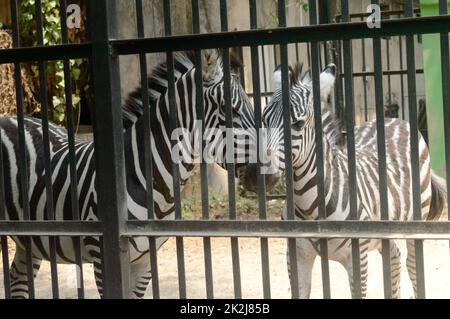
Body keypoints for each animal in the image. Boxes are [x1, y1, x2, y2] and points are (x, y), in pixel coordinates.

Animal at [0, 48, 256, 298]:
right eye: (231, 111)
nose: (262, 175)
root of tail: (9, 118)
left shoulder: (145, 261)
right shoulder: (103, 256)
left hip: (29, 241)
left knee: (18, 281)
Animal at [239, 62, 446, 300]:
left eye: (298, 124)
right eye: (264, 120)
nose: (255, 176)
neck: (310, 209)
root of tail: (395, 119)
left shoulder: (358, 257)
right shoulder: (296, 255)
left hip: (416, 217)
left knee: (413, 267)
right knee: (393, 257)